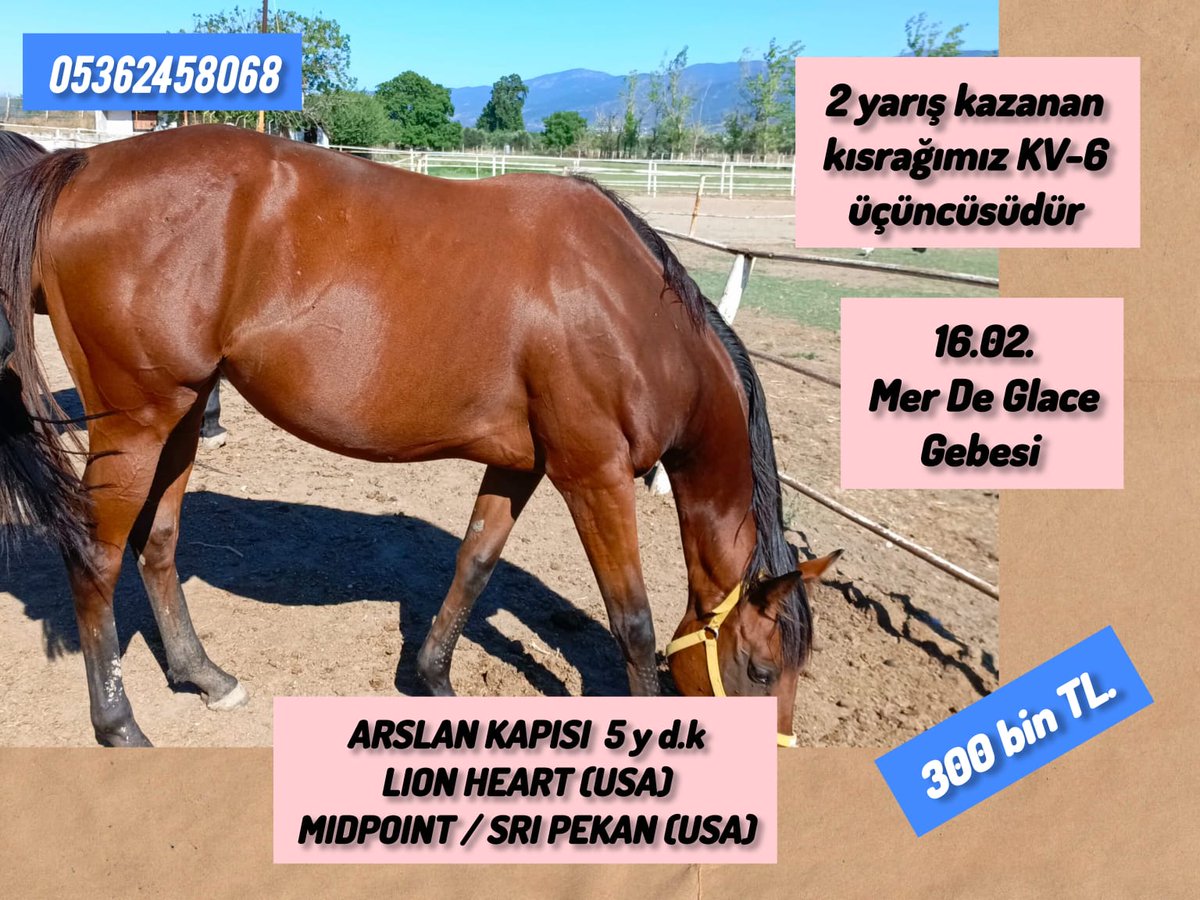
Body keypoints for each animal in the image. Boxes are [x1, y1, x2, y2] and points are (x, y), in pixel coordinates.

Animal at [0, 125, 839, 747]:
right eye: (762, 669)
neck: (631, 312)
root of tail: (79, 165)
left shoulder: (520, 466)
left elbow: (474, 563)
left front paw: (434, 677)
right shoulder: (592, 474)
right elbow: (630, 621)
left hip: (182, 413)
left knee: (159, 542)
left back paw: (204, 676)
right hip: (136, 421)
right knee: (96, 558)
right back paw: (118, 723)